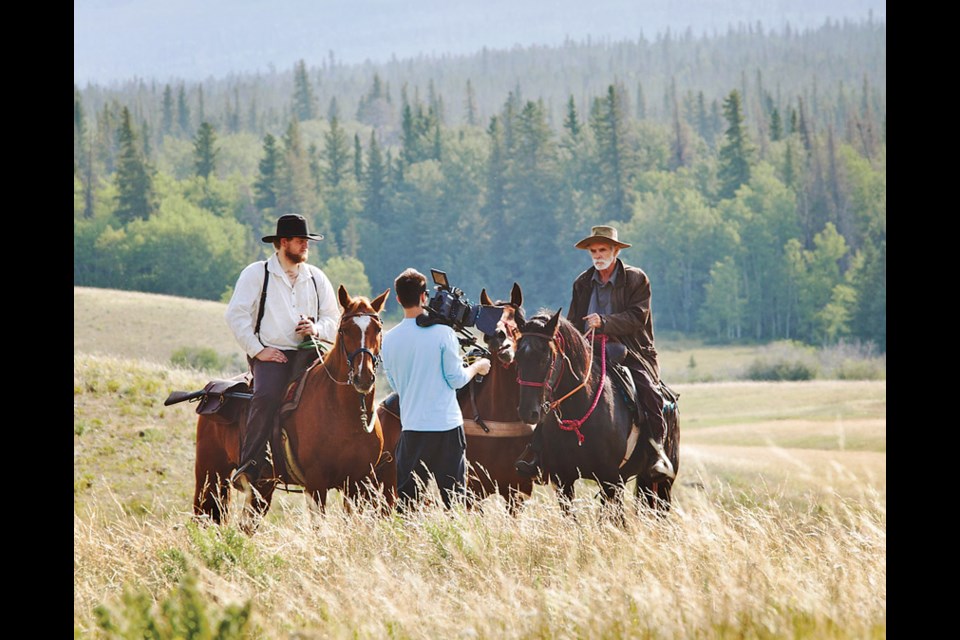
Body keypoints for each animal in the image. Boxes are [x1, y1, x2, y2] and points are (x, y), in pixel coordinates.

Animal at [193, 286, 388, 528]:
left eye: (377, 329)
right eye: (344, 330)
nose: (364, 377)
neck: (346, 415)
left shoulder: (359, 485)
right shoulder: (316, 484)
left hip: (261, 487)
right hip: (210, 473)